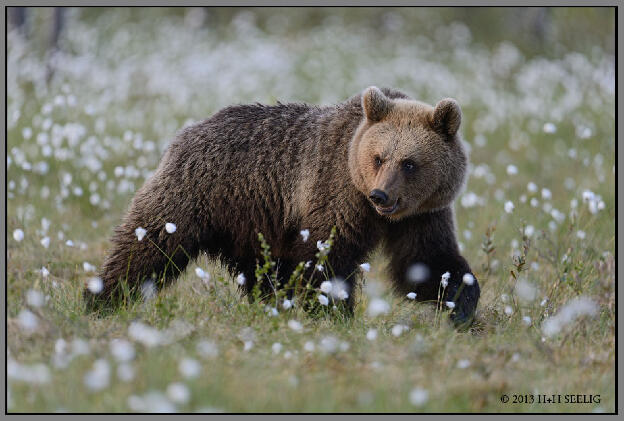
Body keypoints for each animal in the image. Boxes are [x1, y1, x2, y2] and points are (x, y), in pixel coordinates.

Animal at [86, 85, 478, 322]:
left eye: (409, 163)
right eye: (379, 157)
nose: (380, 195)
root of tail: (186, 132)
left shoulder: (423, 214)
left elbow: (427, 261)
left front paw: (461, 304)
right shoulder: (336, 193)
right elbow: (327, 258)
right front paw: (333, 312)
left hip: (249, 222)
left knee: (261, 272)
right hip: (199, 195)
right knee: (147, 245)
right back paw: (102, 298)